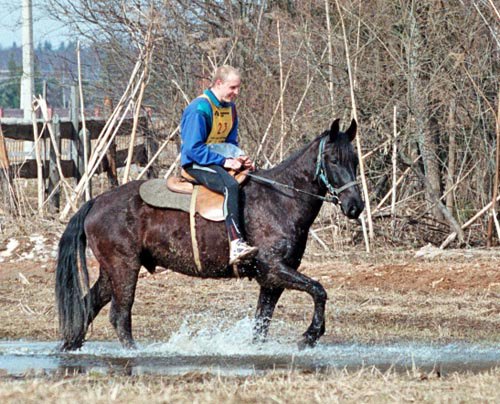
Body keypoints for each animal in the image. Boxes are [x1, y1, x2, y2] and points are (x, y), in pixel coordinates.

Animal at [55, 117, 364, 350]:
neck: (281, 199)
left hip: (112, 272)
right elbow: (319, 290)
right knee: (120, 316)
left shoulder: (271, 280)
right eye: (333, 159)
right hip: (124, 267)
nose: (355, 206)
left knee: (88, 306)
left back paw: (70, 346)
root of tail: (96, 202)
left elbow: (261, 324)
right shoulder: (275, 268)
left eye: (355, 160)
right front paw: (309, 336)